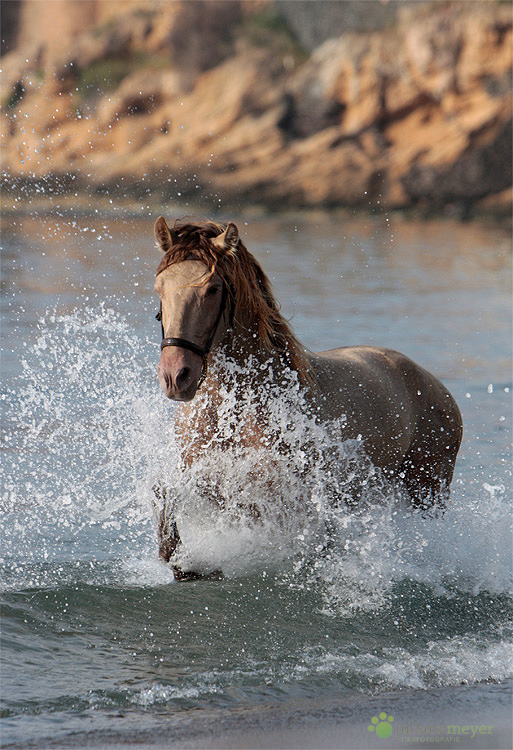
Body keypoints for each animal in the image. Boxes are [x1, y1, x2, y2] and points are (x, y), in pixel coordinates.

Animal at [150, 217, 462, 580]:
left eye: (212, 288)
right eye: (159, 288)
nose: (176, 376)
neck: (238, 406)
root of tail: (437, 388)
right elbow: (168, 499)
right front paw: (182, 561)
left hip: (427, 490)